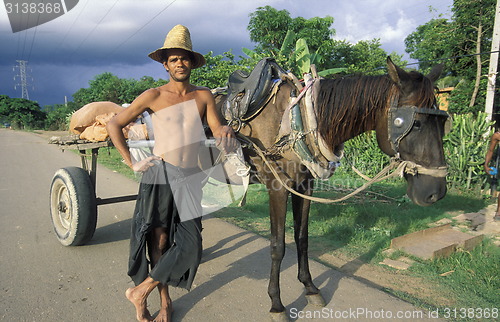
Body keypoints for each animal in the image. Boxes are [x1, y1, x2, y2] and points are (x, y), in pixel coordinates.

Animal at [213, 57, 448, 320]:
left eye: (443, 121)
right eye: (414, 124)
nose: (436, 192)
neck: (293, 120)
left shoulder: (305, 186)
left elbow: (302, 238)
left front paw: (310, 288)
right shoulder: (278, 188)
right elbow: (277, 246)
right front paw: (276, 303)